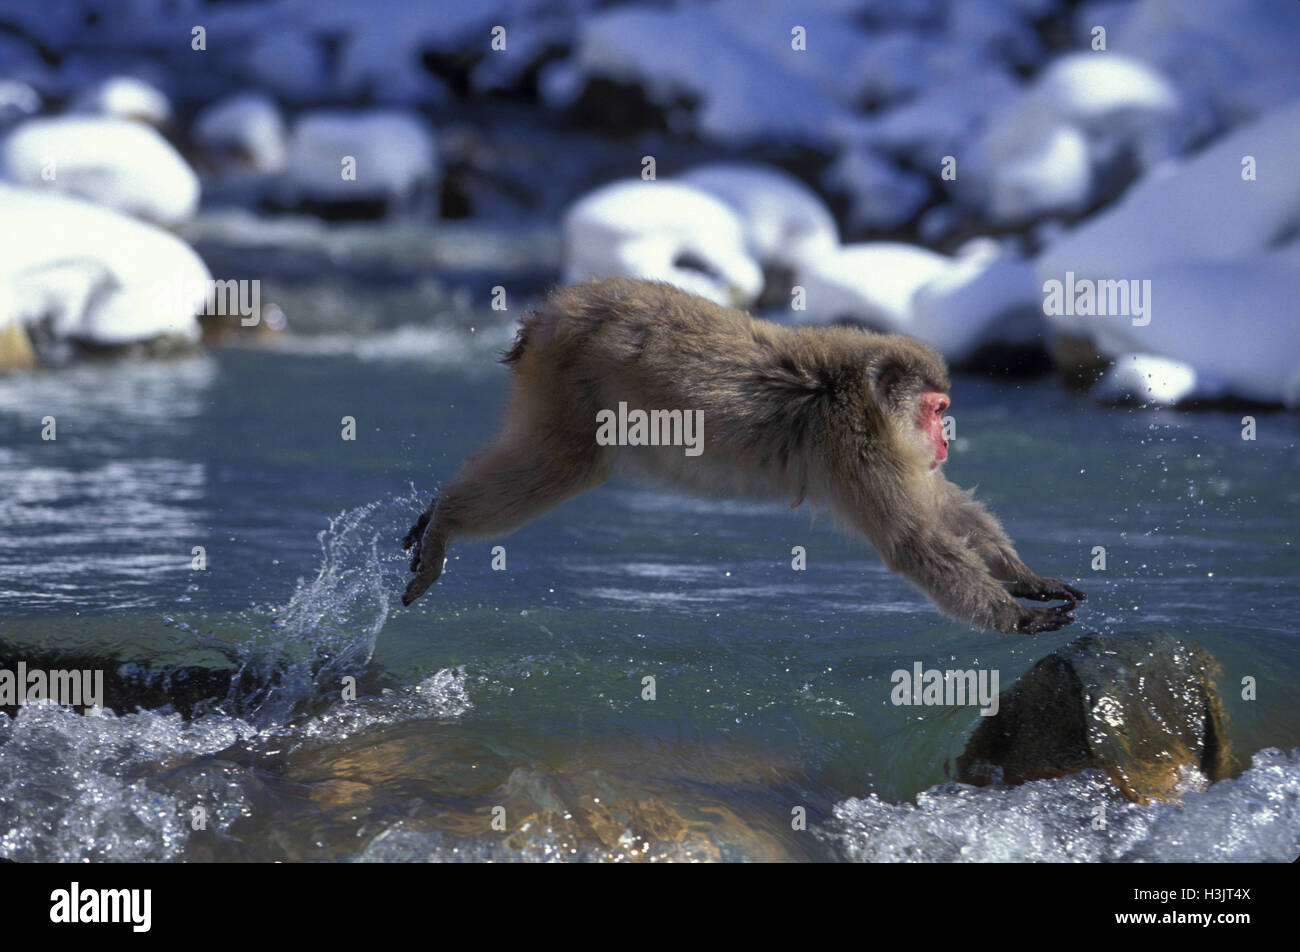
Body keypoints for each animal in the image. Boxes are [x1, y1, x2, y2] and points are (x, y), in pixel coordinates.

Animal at [401, 277, 1085, 634]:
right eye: (937, 408)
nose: (945, 439)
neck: (855, 391)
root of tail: (550, 314)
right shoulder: (858, 441)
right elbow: (914, 539)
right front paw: (1017, 615)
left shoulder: (888, 448)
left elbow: (939, 504)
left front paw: (1028, 577)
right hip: (568, 388)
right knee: (563, 464)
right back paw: (449, 518)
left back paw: (436, 513)